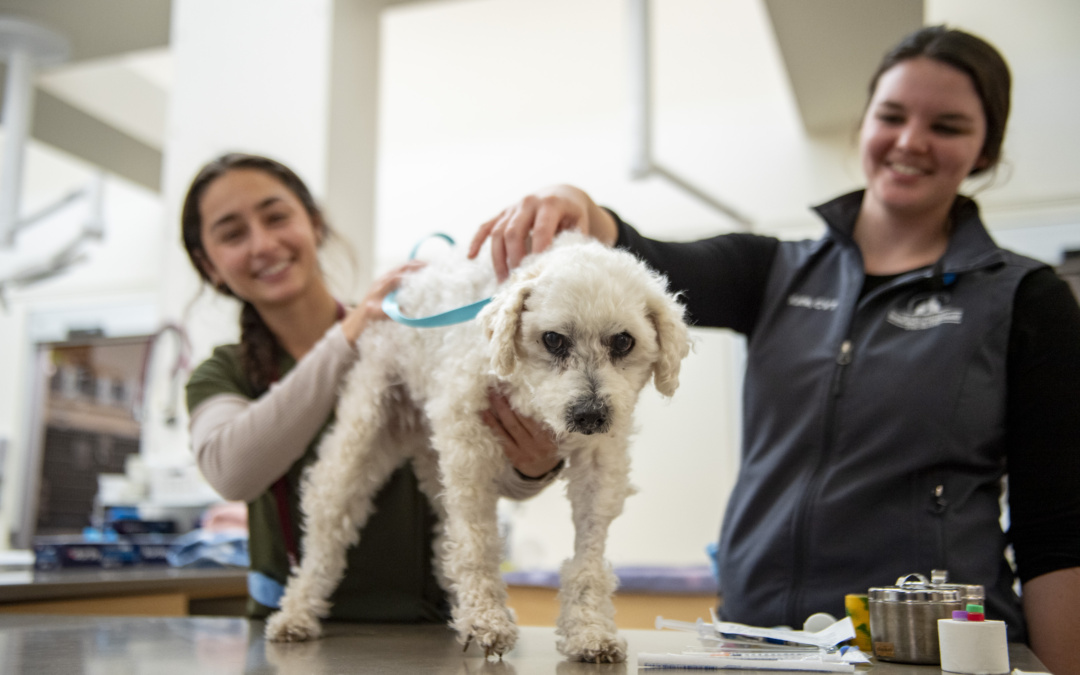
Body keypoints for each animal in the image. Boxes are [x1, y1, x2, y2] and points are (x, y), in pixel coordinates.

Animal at [267, 230, 691, 656]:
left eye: (623, 341)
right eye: (553, 339)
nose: (589, 415)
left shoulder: (600, 466)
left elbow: (588, 556)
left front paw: (588, 629)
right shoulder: (468, 448)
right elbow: (477, 543)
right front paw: (487, 620)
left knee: (444, 538)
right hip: (360, 441)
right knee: (325, 540)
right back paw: (295, 614)